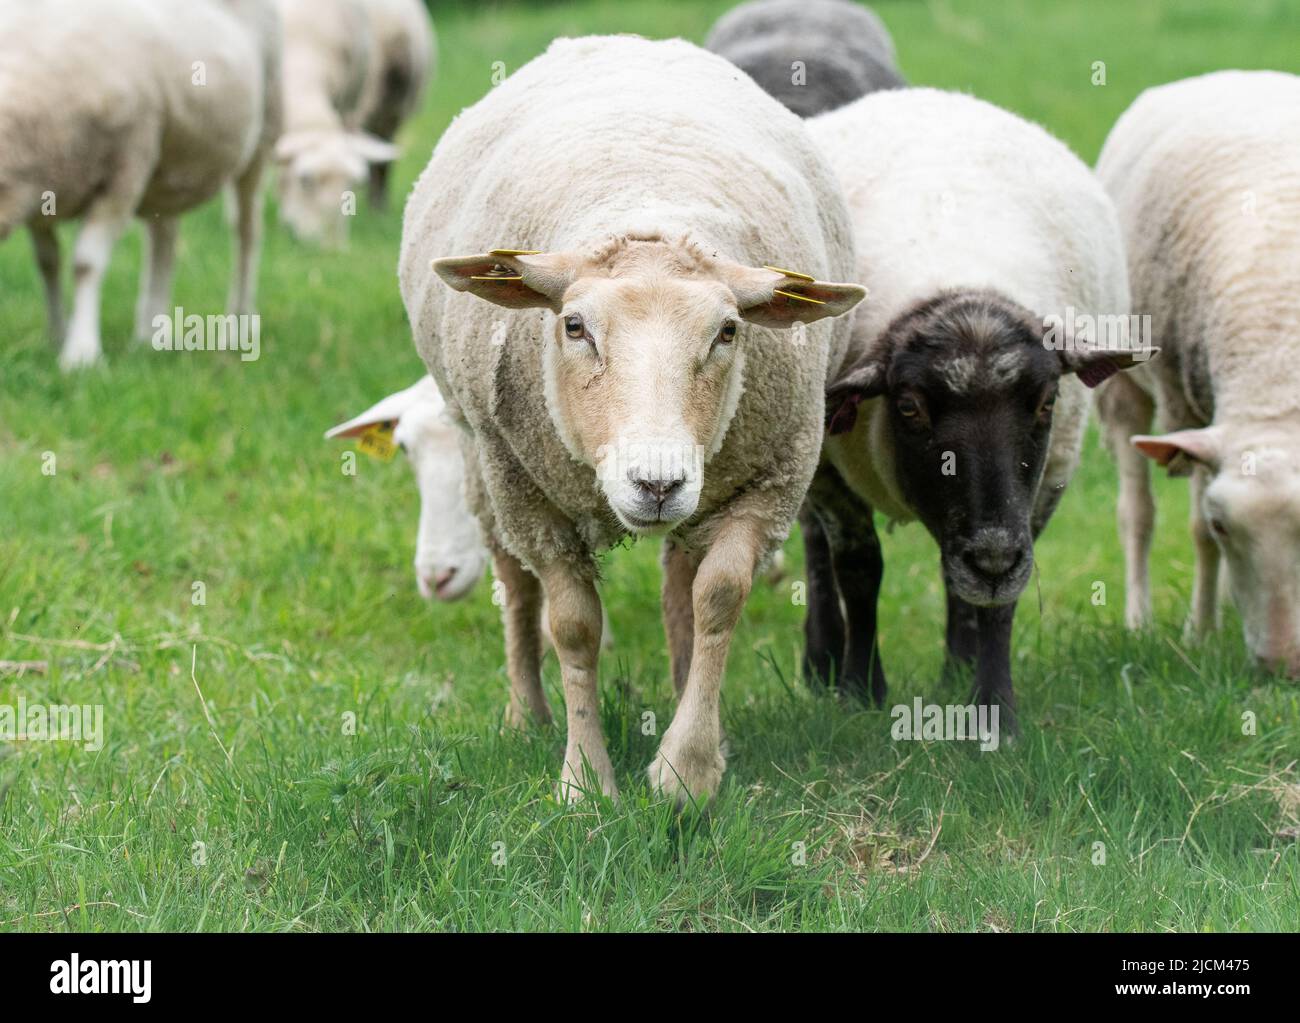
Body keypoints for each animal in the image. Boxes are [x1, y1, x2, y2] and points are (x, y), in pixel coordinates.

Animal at [0, 0, 282, 370]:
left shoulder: (126, 169)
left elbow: (85, 264)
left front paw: (81, 353)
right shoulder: (41, 191)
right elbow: (48, 264)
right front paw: (57, 334)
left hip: (260, 136)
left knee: (247, 234)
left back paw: (237, 326)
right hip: (169, 164)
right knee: (164, 239)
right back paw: (150, 335)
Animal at [399, 35, 865, 804]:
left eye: (729, 331)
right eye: (574, 326)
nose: (656, 483)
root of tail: (630, 40)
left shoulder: (776, 473)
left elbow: (719, 597)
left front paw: (688, 769)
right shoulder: (530, 496)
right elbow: (572, 625)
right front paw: (585, 779)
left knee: (681, 588)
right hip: (484, 460)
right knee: (514, 584)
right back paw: (525, 715)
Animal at [809, 88, 1151, 726]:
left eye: (1046, 401)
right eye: (909, 408)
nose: (990, 560)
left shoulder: (1042, 486)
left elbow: (1001, 604)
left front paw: (993, 711)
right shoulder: (827, 471)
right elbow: (859, 571)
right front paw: (860, 693)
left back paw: (956, 667)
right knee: (816, 552)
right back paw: (820, 664)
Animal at [1094, 70, 1300, 679]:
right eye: (1223, 525)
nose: (1283, 667)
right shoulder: (1183, 407)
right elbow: (1193, 535)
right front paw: (1200, 633)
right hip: (1126, 384)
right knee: (1135, 514)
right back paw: (1140, 622)